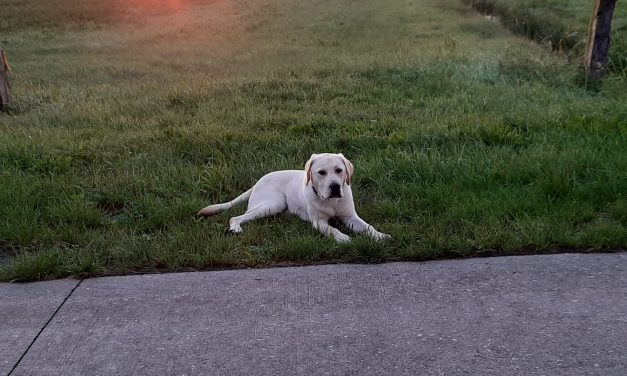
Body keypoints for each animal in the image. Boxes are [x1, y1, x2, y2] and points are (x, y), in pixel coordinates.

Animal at [199, 153, 390, 244]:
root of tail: (259, 180)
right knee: (236, 216)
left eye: (339, 170)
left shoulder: (350, 217)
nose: (335, 186)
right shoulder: (319, 222)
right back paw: (235, 228)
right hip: (273, 204)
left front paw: (380, 236)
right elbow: (332, 229)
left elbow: (368, 227)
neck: (331, 201)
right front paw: (343, 238)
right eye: (321, 172)